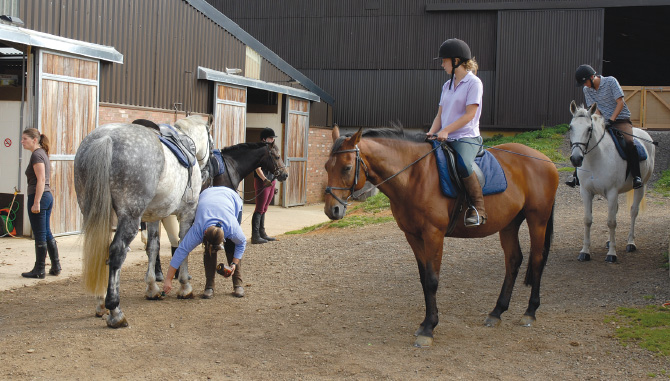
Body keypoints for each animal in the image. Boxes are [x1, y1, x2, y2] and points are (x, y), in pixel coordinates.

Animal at [73, 114, 211, 326]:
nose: (208, 171)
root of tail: (106, 138)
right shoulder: (187, 213)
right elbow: (183, 245)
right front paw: (185, 286)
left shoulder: (154, 216)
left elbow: (152, 247)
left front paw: (152, 288)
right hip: (130, 216)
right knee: (117, 252)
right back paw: (115, 311)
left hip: (92, 211)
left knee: (99, 250)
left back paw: (101, 303)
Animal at [326, 126, 560, 346]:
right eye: (327, 167)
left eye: (347, 167)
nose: (332, 210)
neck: (414, 176)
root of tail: (545, 160)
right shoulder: (413, 236)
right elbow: (423, 279)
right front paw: (425, 324)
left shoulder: (433, 234)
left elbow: (432, 280)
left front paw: (429, 329)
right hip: (510, 224)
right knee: (513, 260)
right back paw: (497, 312)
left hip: (537, 219)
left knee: (537, 260)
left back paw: (530, 312)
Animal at [568, 101, 660, 262]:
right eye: (571, 127)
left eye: (589, 128)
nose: (576, 159)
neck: (596, 158)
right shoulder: (586, 192)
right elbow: (587, 220)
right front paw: (585, 252)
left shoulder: (612, 192)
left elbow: (611, 222)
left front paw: (612, 254)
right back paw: (609, 241)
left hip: (641, 187)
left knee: (633, 212)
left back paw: (630, 243)